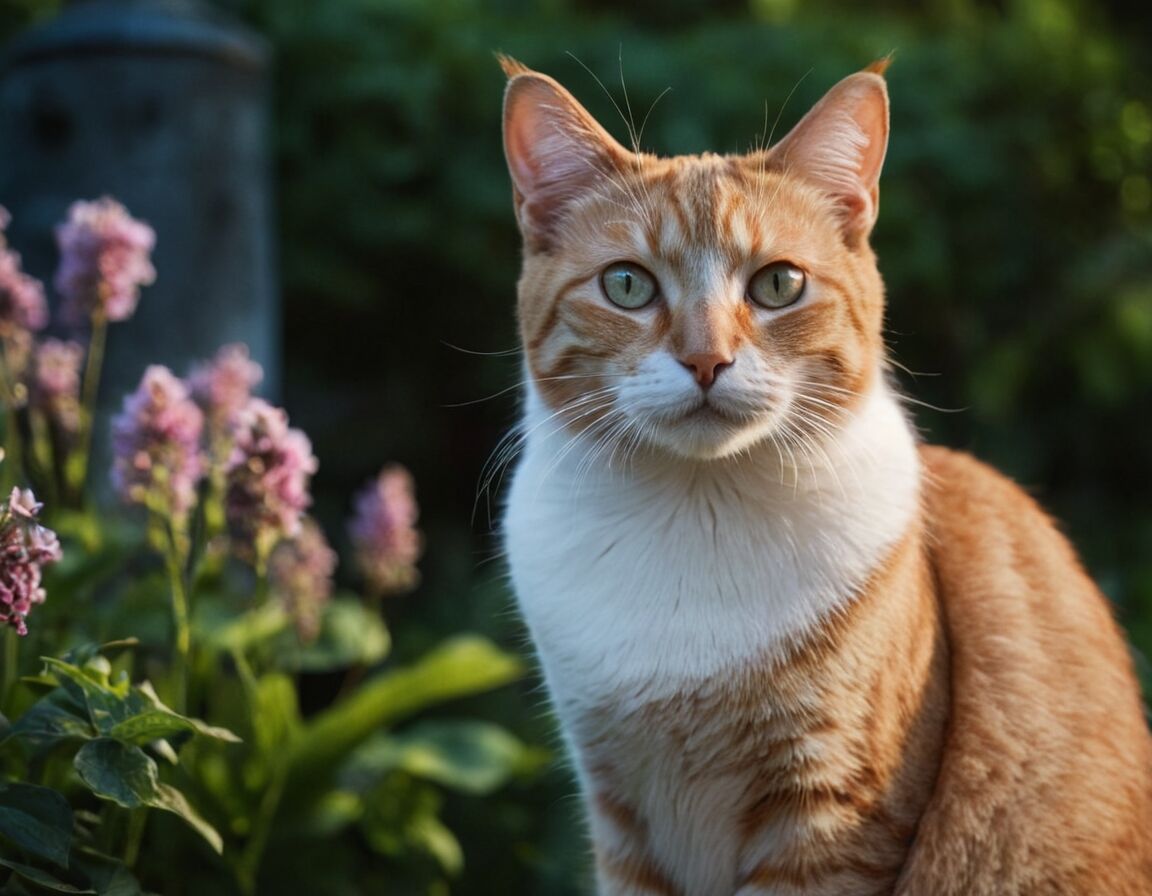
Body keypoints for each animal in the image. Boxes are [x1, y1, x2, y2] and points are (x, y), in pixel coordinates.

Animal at [495, 57, 1152, 893]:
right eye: (627, 285)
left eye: (778, 285)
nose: (706, 360)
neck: (698, 513)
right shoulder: (621, 816)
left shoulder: (835, 814)